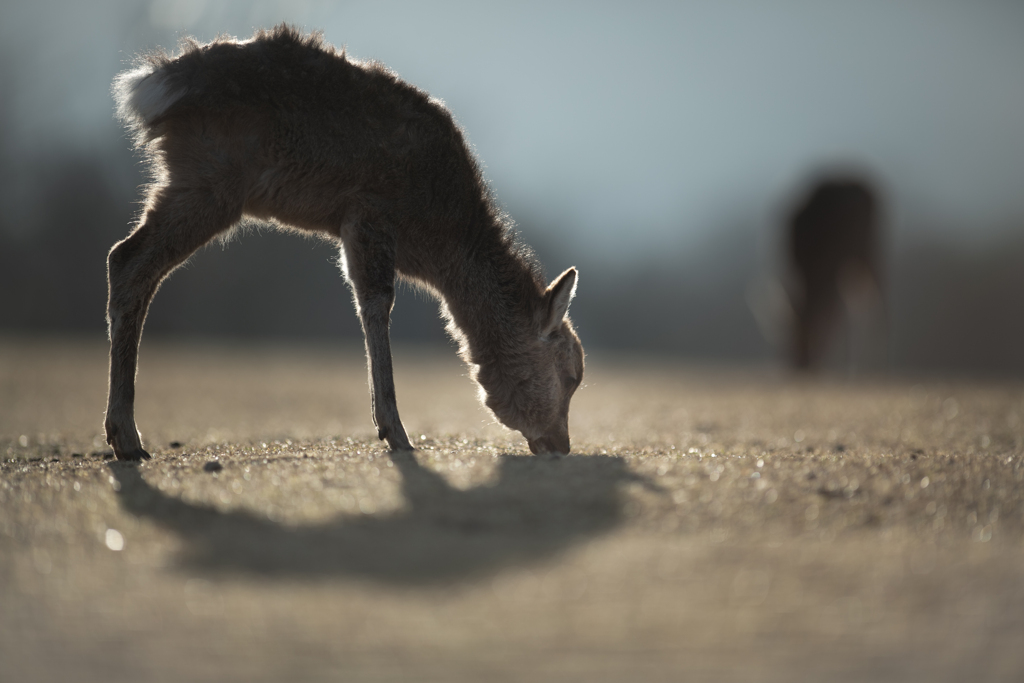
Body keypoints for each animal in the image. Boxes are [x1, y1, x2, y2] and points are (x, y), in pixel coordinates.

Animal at [105, 26, 585, 464]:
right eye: (572, 375)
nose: (561, 446)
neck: (436, 243)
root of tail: (149, 84)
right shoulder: (370, 210)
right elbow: (376, 302)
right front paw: (395, 432)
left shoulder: (351, 227)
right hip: (215, 178)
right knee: (129, 260)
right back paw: (127, 437)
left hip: (190, 180)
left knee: (123, 257)